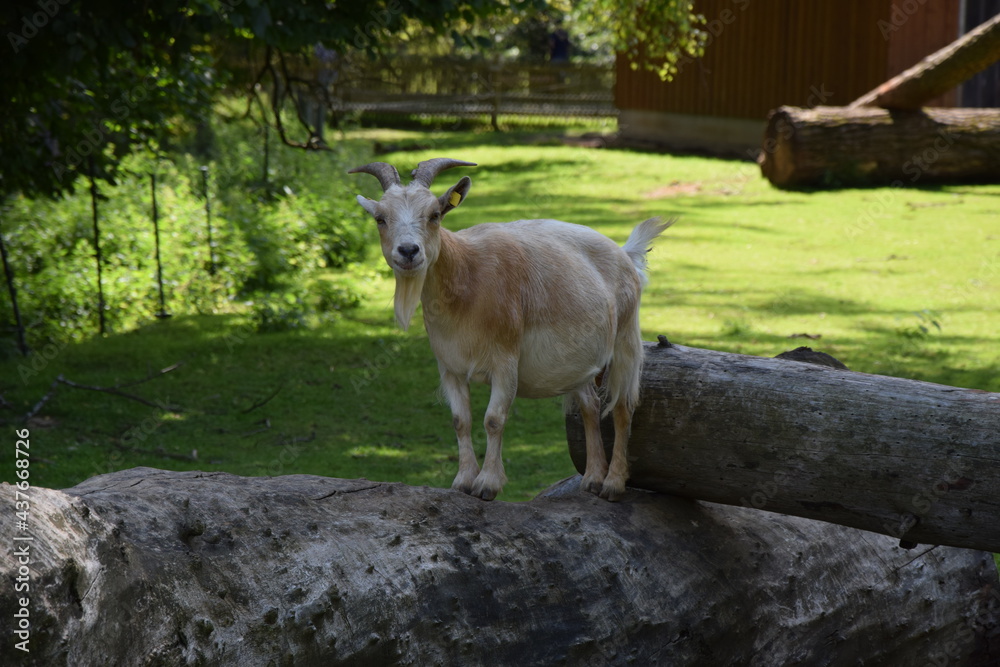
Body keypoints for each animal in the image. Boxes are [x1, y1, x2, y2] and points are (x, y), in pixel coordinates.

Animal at [349, 158, 671, 501]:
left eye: (434, 215)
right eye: (381, 219)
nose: (408, 251)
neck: (466, 278)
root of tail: (625, 253)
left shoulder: (505, 361)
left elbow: (493, 419)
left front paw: (487, 484)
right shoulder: (449, 366)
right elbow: (460, 420)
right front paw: (463, 480)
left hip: (626, 338)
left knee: (623, 407)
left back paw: (612, 484)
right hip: (580, 362)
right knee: (589, 406)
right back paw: (592, 479)